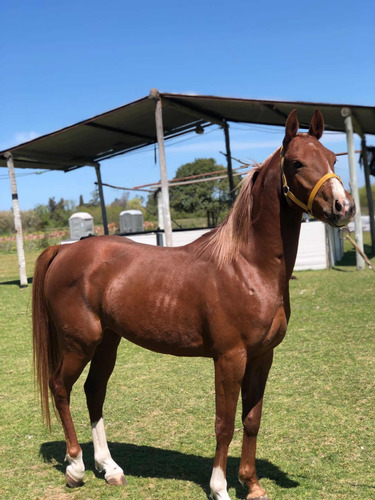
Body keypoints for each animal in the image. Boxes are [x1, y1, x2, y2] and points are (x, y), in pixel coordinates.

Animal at [32, 110, 356, 500]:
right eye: (296, 163)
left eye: (333, 159)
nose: (344, 207)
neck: (247, 266)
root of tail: (64, 249)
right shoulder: (230, 358)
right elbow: (224, 423)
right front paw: (220, 487)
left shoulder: (262, 357)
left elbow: (251, 419)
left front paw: (252, 484)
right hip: (79, 343)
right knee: (60, 387)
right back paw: (76, 467)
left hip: (108, 341)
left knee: (94, 391)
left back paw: (109, 468)